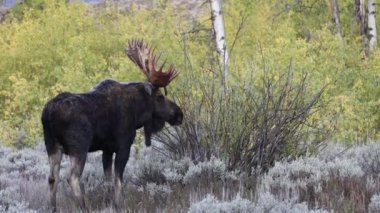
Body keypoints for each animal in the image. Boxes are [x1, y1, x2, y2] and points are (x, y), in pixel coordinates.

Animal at [41, 39, 183, 211]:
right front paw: (118, 205)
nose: (179, 114)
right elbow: (118, 181)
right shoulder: (123, 146)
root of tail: (48, 114)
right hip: (79, 147)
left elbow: (108, 181)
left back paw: (53, 208)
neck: (138, 113)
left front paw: (109, 203)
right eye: (160, 96)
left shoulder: (107, 150)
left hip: (52, 146)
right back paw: (84, 207)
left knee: (52, 178)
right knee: (72, 178)